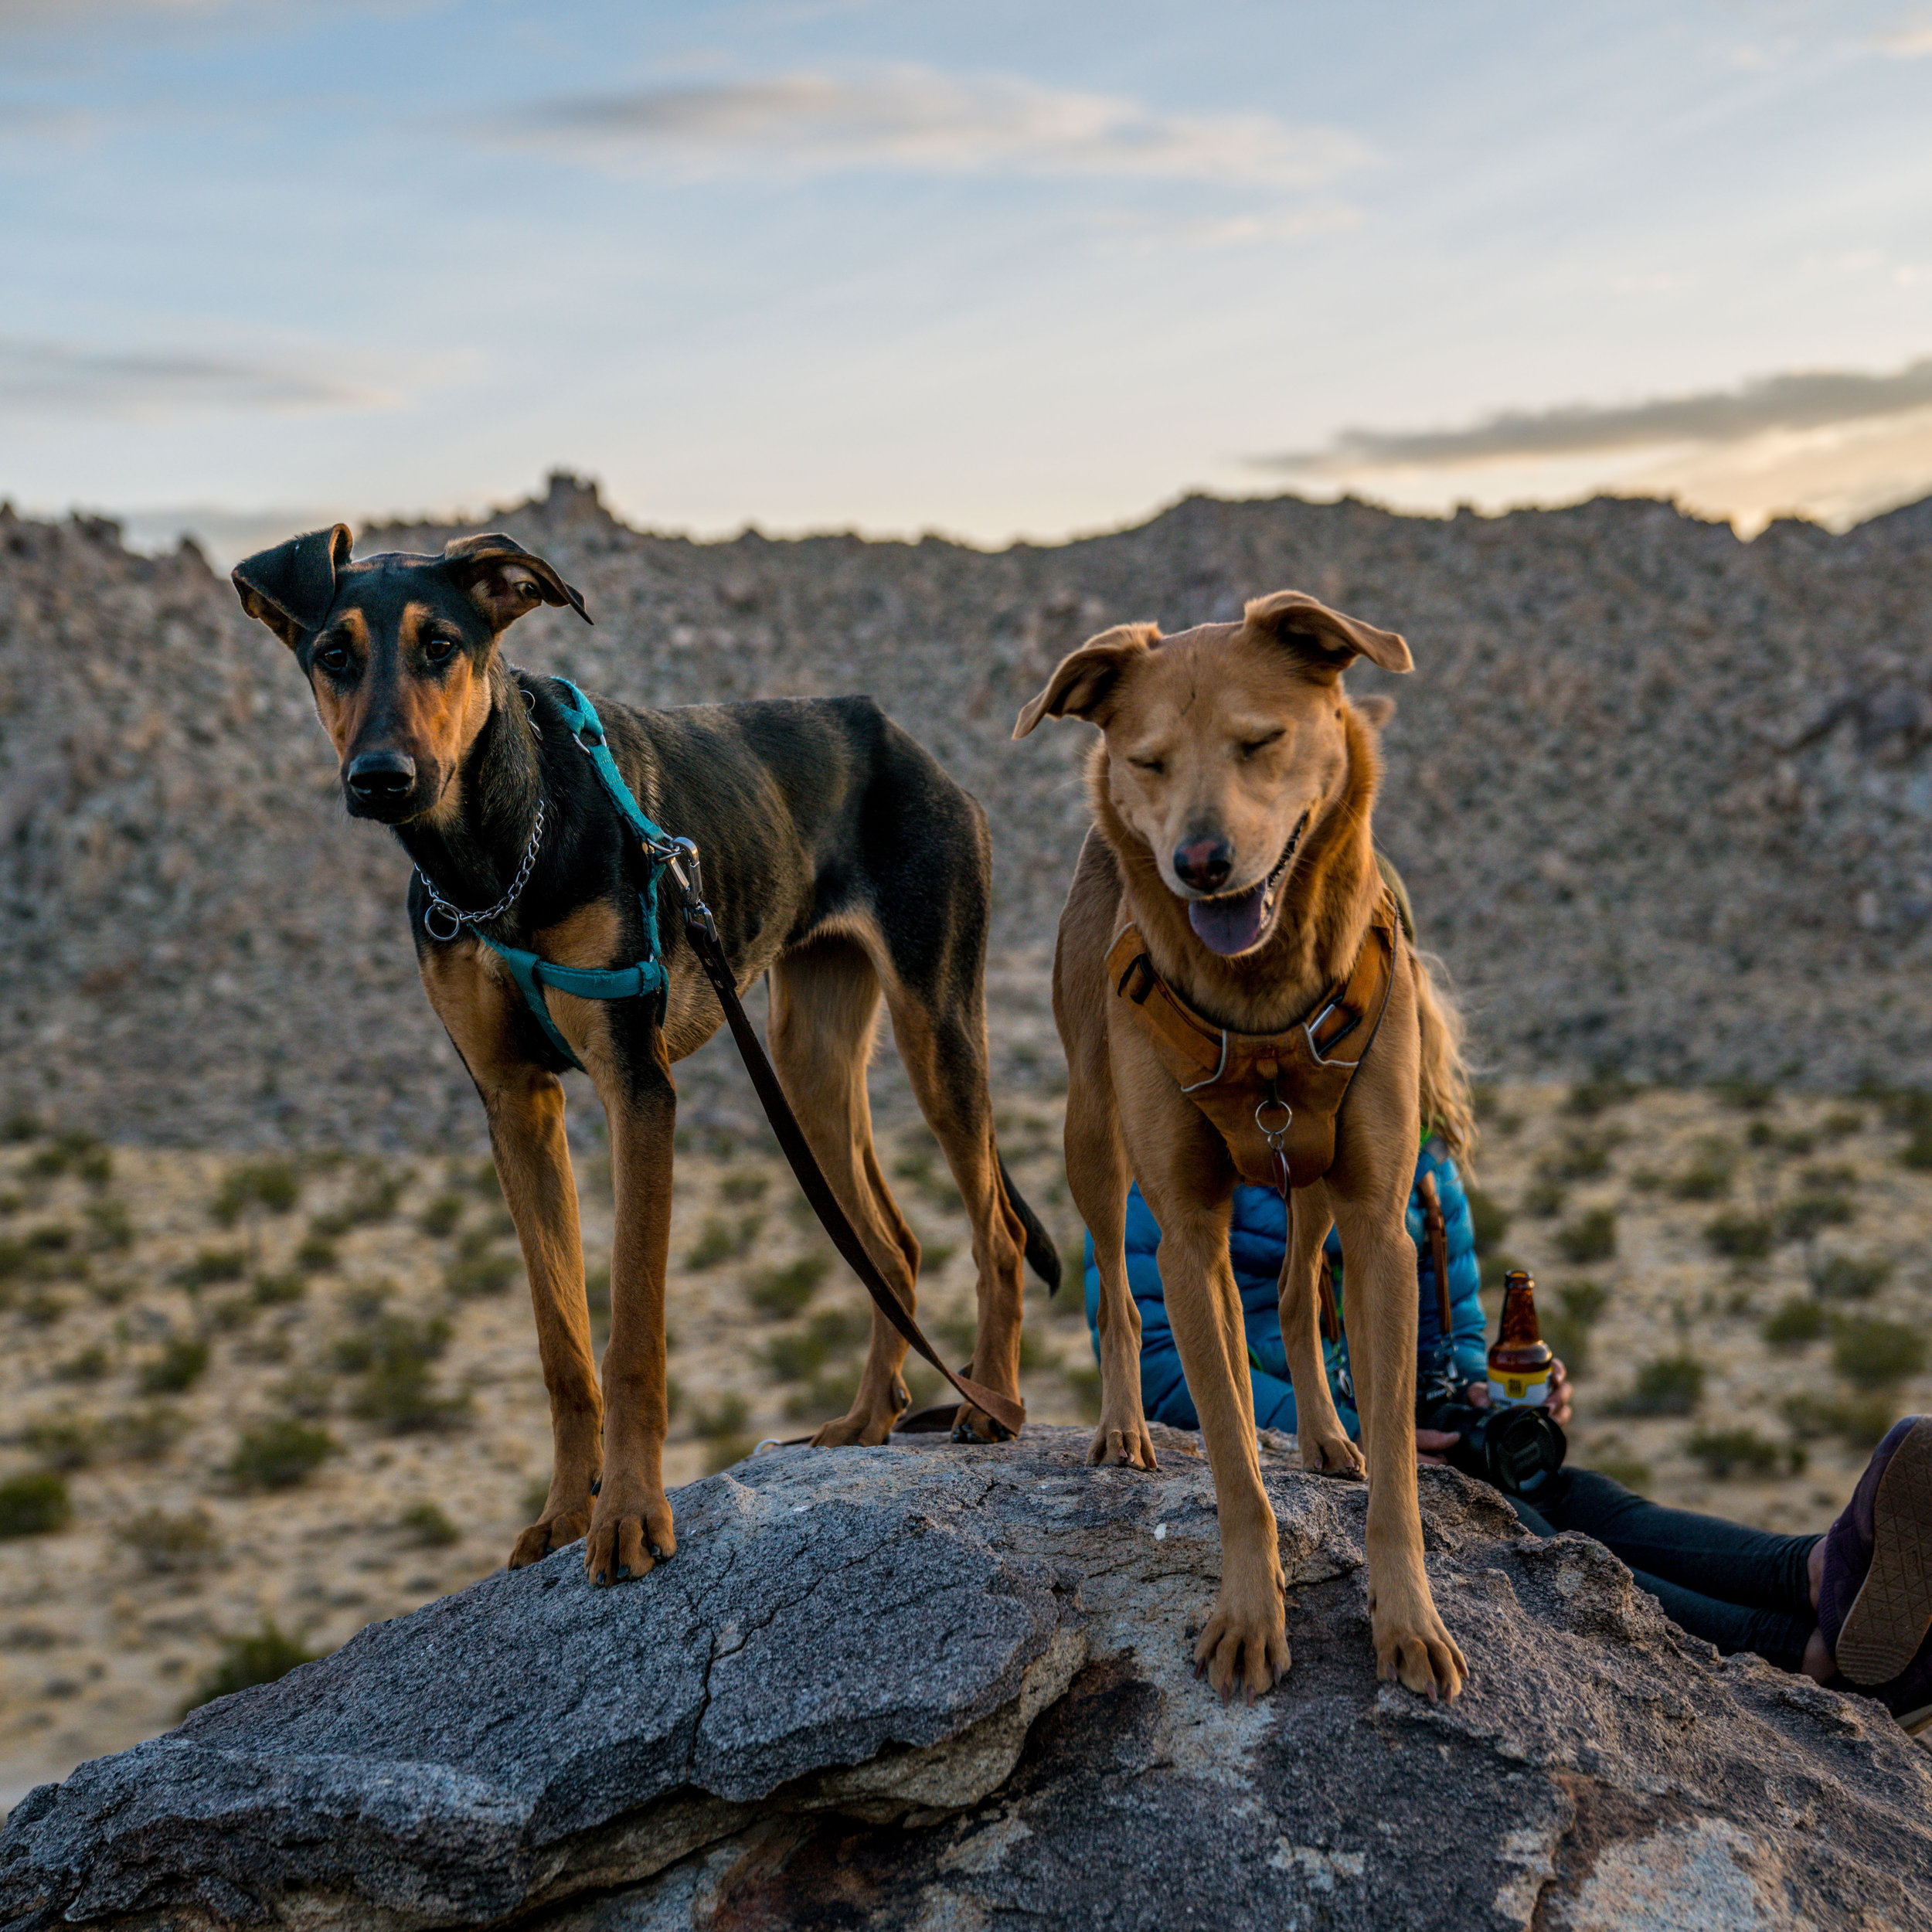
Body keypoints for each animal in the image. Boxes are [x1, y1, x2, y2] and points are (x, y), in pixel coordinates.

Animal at [241, 526, 1066, 1584]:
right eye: (333, 654)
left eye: (441, 647)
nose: (382, 777)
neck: (498, 849)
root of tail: (904, 739)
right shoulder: (515, 1105)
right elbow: (563, 1346)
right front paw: (561, 1514)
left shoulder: (637, 1089)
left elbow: (630, 1334)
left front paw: (630, 1514)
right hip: (803, 1061)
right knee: (890, 1243)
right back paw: (864, 1418)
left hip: (938, 1027)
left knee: (992, 1227)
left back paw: (990, 1403)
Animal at [1020, 591, 1468, 1708]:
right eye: (1148, 761)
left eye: (1260, 741)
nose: (1201, 862)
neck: (1262, 1011)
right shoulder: (1189, 1236)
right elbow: (1230, 1455)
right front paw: (1249, 1619)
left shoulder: (1380, 1224)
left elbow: (1398, 1460)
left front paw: (1409, 1621)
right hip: (1094, 1138)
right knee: (1123, 1300)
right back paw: (1124, 1429)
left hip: (1309, 1184)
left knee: (1298, 1296)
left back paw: (1324, 1433)